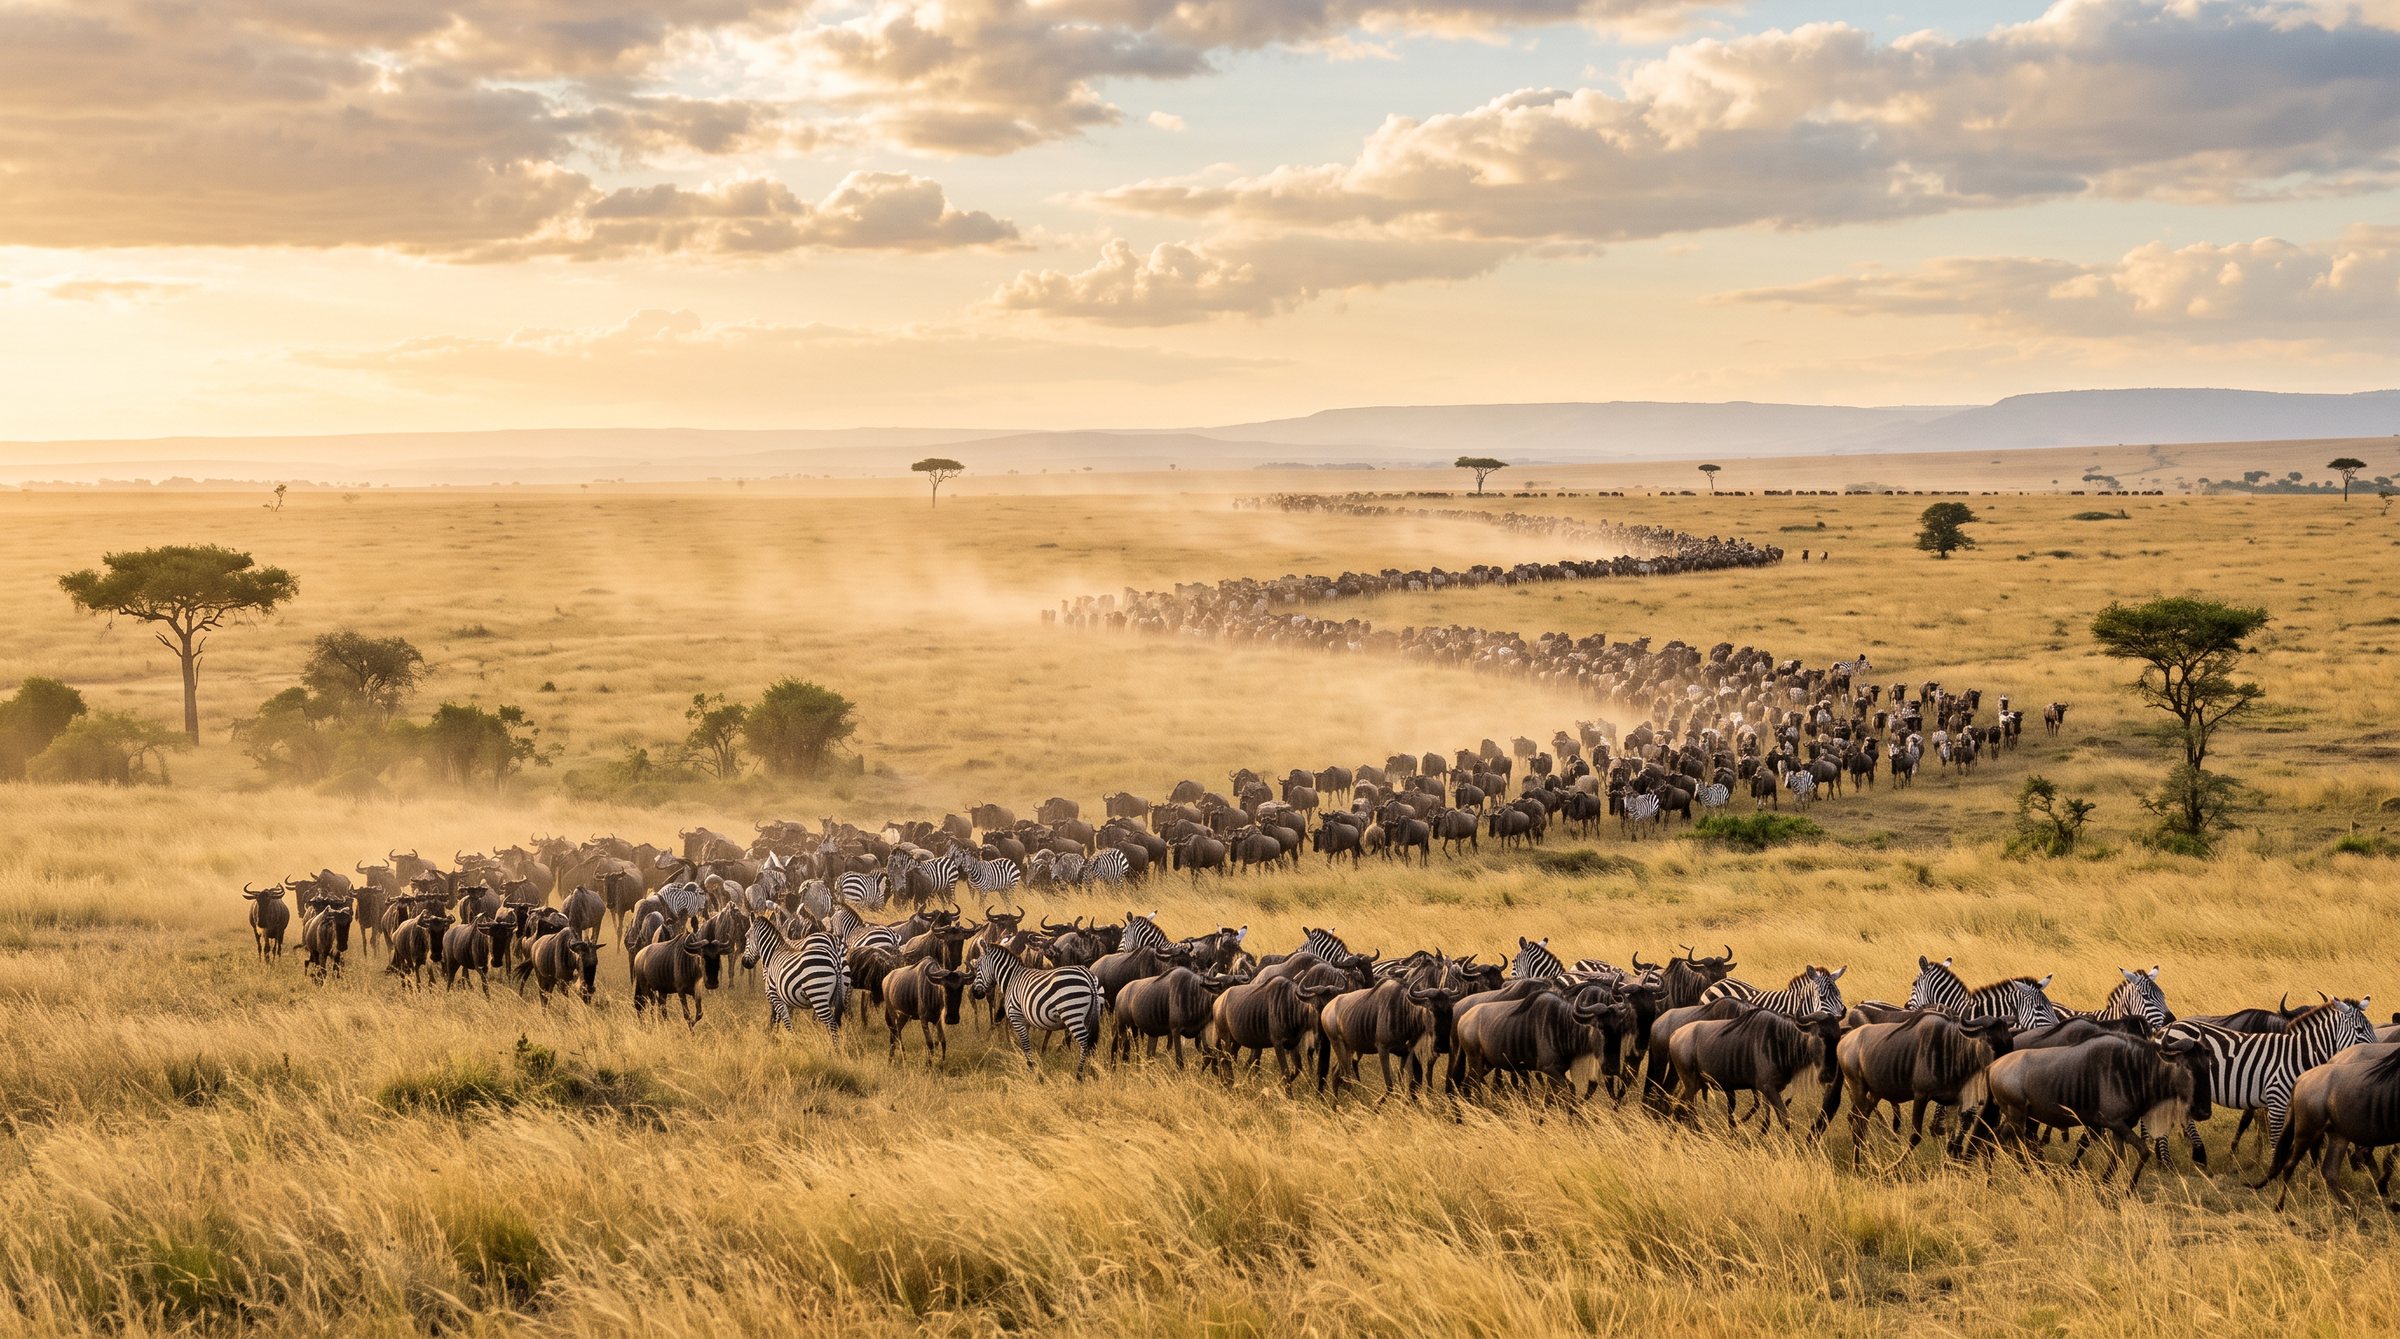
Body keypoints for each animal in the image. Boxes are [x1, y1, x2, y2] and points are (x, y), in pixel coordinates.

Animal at [971, 939, 1103, 1079]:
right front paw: (1030, 1066)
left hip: (1072, 1013)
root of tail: (1088, 975)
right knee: (1092, 1043)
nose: (975, 993)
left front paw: (1031, 1068)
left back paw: (1079, 1074)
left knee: (1085, 1042)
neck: (1011, 979)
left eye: (977, 967)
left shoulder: (1016, 1016)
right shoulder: (1026, 1020)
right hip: (1091, 1014)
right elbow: (1024, 1043)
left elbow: (1025, 1043)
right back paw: (1092, 1071)